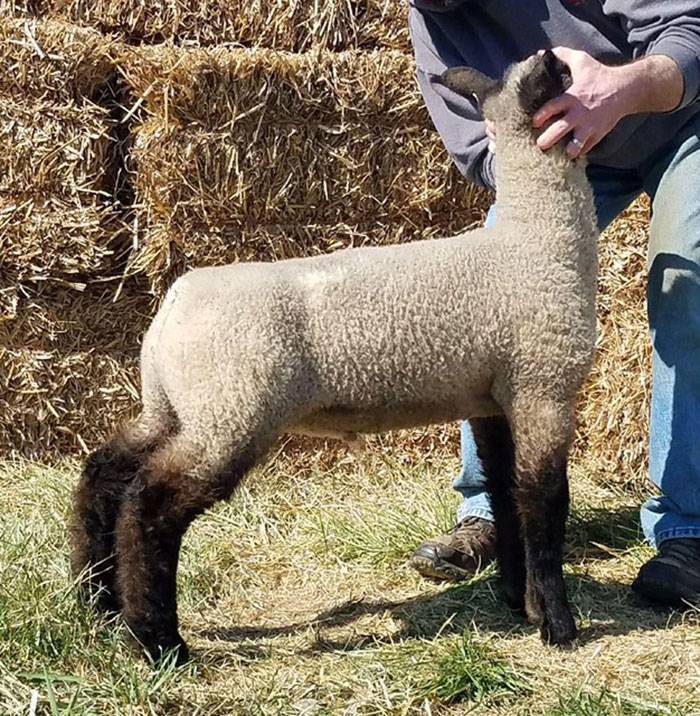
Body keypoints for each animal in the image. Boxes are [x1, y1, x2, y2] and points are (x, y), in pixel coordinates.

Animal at [71, 50, 598, 663]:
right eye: (550, 75)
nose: (563, 60)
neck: (535, 239)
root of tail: (171, 307)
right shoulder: (544, 383)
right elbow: (544, 501)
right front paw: (558, 625)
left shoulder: (492, 398)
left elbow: (507, 496)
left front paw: (519, 602)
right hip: (232, 412)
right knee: (150, 504)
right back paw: (159, 642)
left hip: (178, 407)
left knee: (105, 471)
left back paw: (98, 602)